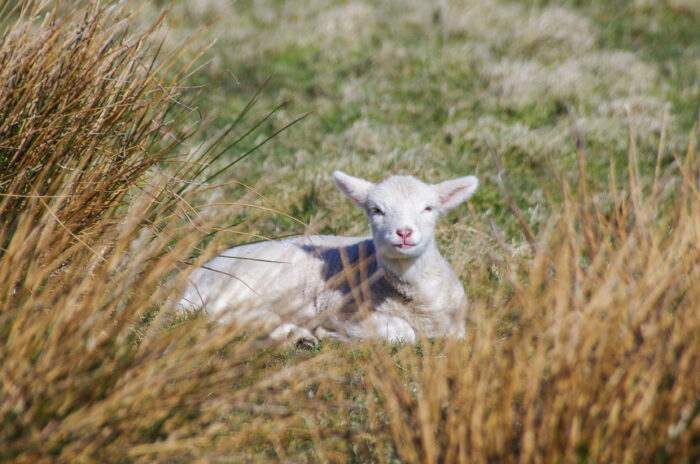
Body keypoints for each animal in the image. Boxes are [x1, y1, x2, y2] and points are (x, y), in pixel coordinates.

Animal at [178, 170, 478, 344]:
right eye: (376, 210)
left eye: (429, 208)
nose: (404, 232)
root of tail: (190, 278)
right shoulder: (343, 310)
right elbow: (402, 334)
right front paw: (334, 334)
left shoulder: (457, 328)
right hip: (239, 284)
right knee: (220, 316)